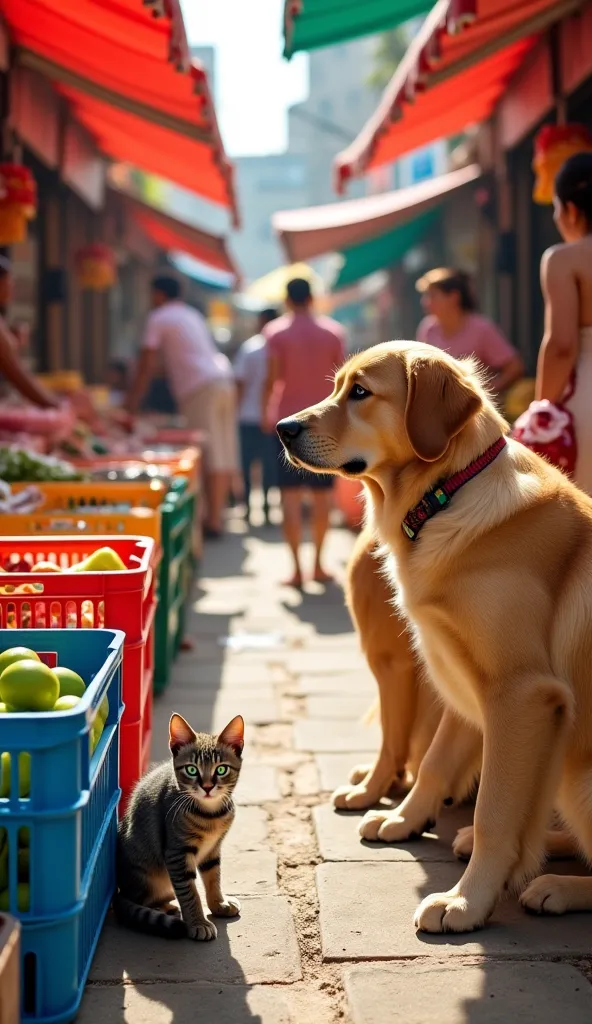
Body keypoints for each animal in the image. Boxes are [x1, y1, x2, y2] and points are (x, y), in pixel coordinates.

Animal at [112, 716, 241, 937]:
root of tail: (119, 889)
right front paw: (198, 923)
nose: (207, 787)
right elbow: (190, 892)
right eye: (192, 769)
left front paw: (219, 905)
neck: (210, 814)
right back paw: (163, 910)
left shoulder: (213, 850)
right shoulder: (177, 854)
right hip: (148, 878)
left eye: (221, 769)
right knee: (141, 901)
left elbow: (213, 878)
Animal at [278, 339, 589, 933]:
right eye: (337, 386)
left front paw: (466, 901)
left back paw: (557, 886)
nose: (282, 427)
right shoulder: (464, 683)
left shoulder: (520, 695)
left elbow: (494, 810)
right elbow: (435, 762)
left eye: (360, 392)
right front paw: (402, 819)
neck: (447, 494)